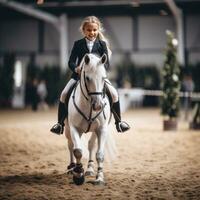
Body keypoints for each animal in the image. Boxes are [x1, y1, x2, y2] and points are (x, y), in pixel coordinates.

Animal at [64, 53, 111, 186]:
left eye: (103, 78)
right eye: (88, 78)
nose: (98, 106)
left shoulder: (102, 129)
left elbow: (99, 154)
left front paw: (99, 178)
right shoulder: (74, 128)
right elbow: (78, 151)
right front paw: (78, 174)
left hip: (95, 131)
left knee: (91, 145)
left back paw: (89, 169)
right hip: (68, 129)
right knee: (71, 145)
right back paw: (72, 167)